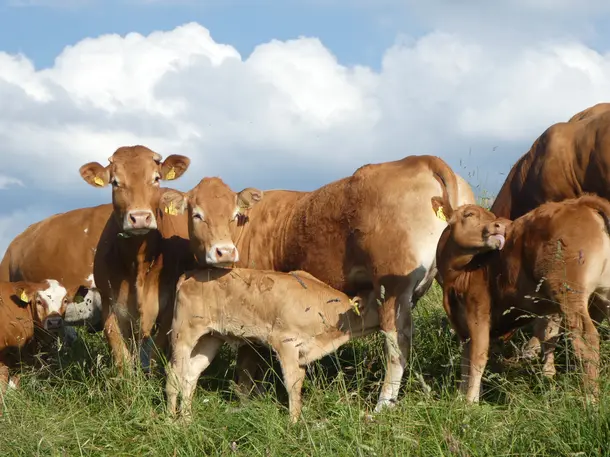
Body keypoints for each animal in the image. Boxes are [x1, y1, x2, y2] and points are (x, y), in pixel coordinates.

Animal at [76, 144, 190, 372]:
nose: (139, 218)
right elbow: (120, 354)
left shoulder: (167, 307)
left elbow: (154, 351)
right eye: (115, 182)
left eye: (156, 178)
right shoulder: (110, 303)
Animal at [164, 268, 378, 422]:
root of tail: (190, 275)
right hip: (183, 334)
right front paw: (293, 424)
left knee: (190, 375)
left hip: (210, 338)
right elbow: (292, 383)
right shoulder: (285, 342)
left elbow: (298, 382)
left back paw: (187, 420)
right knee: (174, 375)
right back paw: (171, 420)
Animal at [432, 194, 608, 400]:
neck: (457, 276)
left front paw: (470, 401)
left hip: (569, 294)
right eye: (469, 214)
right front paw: (461, 396)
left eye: (492, 216)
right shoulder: (461, 324)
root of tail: (581, 202)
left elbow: (477, 357)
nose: (499, 225)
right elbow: (465, 360)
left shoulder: (478, 312)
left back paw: (590, 398)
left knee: (586, 340)